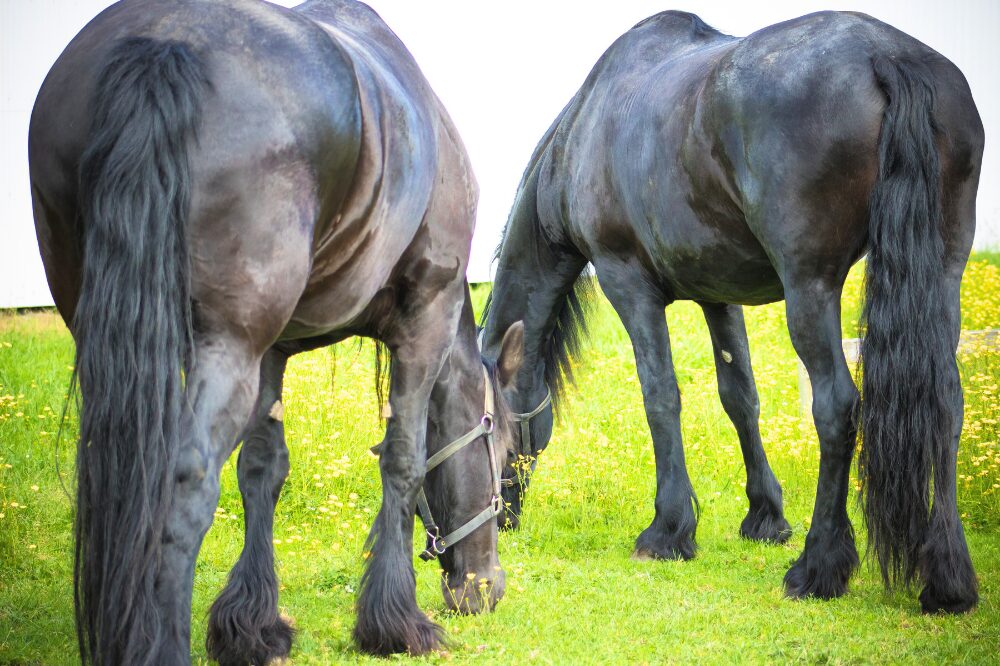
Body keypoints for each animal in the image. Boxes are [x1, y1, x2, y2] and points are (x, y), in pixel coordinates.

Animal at [28, 0, 525, 662]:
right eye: (505, 455)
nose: (485, 587)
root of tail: (163, 44)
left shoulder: (275, 351)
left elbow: (262, 470)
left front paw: (252, 626)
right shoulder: (427, 320)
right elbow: (405, 459)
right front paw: (395, 622)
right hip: (225, 348)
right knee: (183, 488)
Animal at [479, 10, 982, 614]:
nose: (494, 520)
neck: (581, 133)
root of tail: (886, 54)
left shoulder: (628, 283)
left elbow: (660, 397)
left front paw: (669, 531)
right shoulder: (718, 295)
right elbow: (739, 396)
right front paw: (765, 516)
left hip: (810, 288)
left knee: (837, 406)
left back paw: (818, 568)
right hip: (941, 275)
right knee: (945, 402)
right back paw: (948, 579)